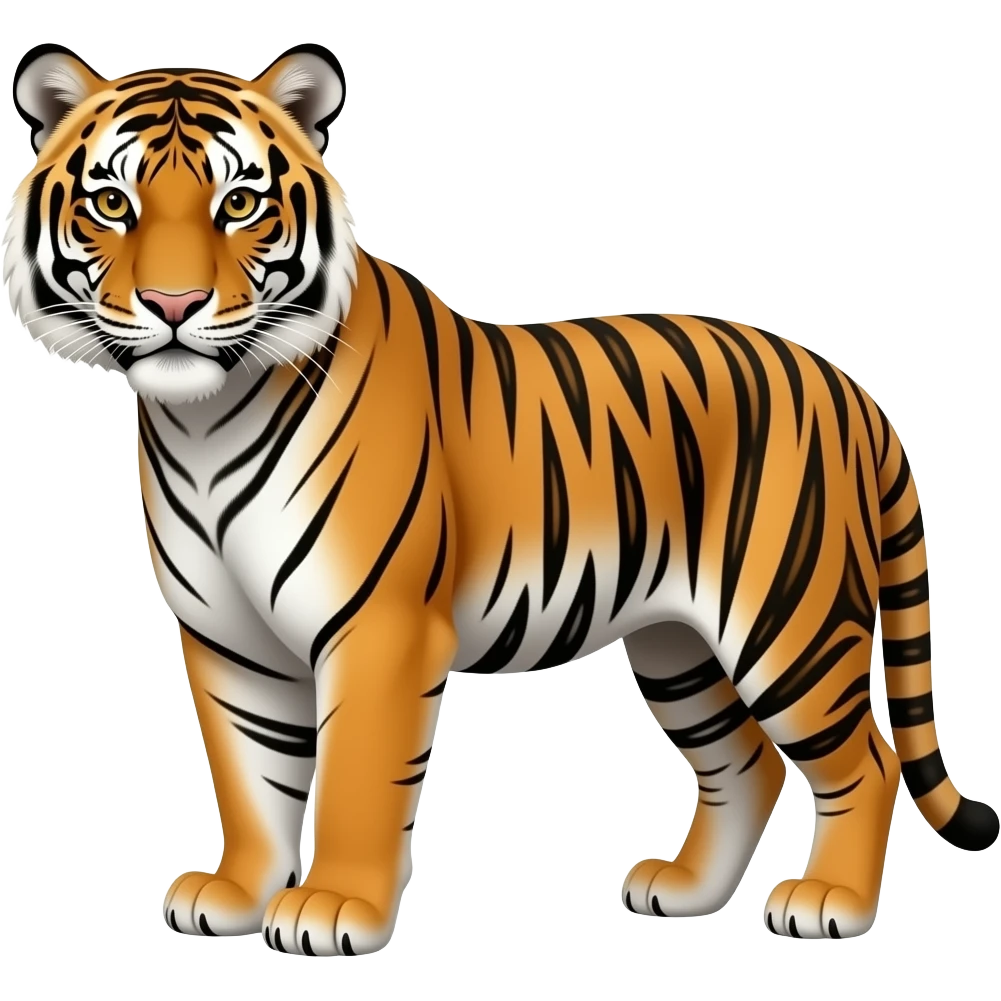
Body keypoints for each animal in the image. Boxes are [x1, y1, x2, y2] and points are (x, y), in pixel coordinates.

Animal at [4, 40, 996, 957]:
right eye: (111, 204)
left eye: (238, 204)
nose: (175, 303)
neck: (201, 422)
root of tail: (846, 385)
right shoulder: (226, 637)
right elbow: (250, 777)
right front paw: (238, 893)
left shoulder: (379, 627)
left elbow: (354, 776)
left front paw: (333, 908)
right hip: (677, 643)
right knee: (744, 760)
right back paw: (683, 890)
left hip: (786, 621)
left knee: (865, 760)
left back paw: (829, 904)